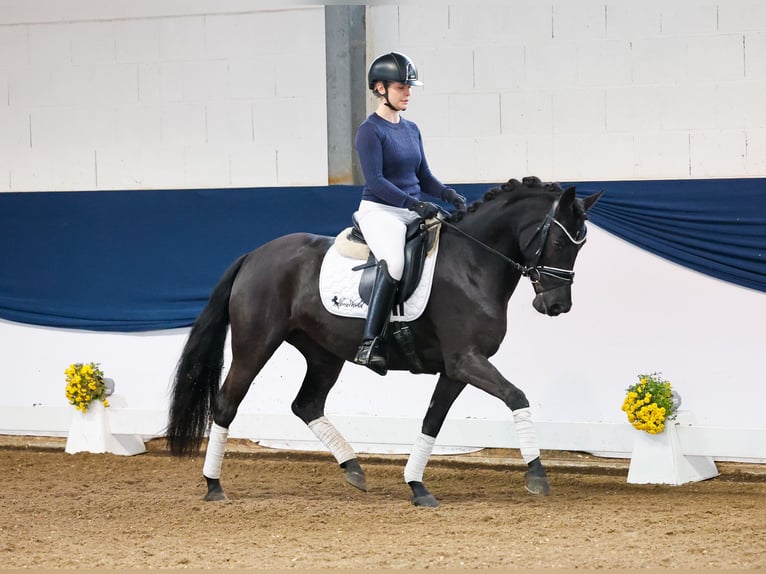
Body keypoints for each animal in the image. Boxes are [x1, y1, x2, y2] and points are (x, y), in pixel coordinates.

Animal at [168, 177, 608, 508]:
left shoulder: (457, 369)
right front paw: (536, 475)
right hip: (255, 345)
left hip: (324, 353)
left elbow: (432, 421)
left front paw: (417, 486)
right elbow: (517, 396)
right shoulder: (467, 360)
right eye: (560, 243)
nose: (556, 306)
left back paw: (353, 469)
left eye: (582, 245)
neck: (472, 263)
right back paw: (213, 486)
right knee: (227, 403)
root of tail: (255, 254)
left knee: (306, 404)